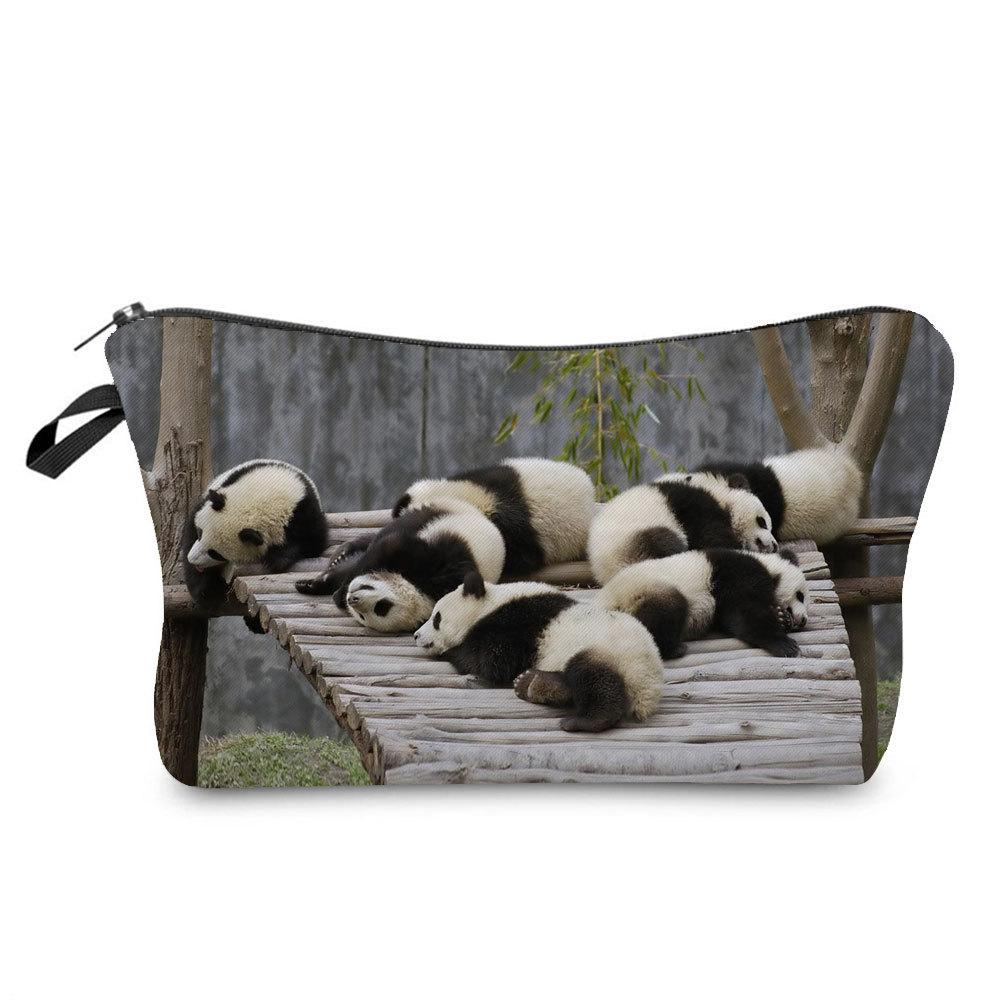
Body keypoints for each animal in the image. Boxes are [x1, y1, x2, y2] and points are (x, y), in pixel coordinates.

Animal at [183, 460, 329, 618]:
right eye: (200, 533)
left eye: (215, 553)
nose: (192, 559)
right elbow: (190, 532)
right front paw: (207, 592)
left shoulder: (304, 512)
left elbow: (313, 543)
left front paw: (277, 558)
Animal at [295, 500, 506, 634]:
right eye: (383, 604)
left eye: (378, 609)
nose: (352, 600)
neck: (422, 590)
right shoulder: (436, 561)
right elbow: (389, 546)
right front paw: (330, 588)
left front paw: (334, 592)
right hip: (437, 515)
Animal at [413, 571, 662, 732]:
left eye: (437, 618)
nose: (416, 635)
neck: (491, 604)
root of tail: (648, 687)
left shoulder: (514, 625)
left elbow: (491, 662)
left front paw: (452, 651)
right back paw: (533, 683)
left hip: (610, 652)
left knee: (593, 677)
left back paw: (584, 720)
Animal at [586, 473, 779, 585]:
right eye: (762, 522)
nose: (775, 545)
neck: (717, 493)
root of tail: (607, 572)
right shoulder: (694, 506)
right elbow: (713, 537)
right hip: (633, 539)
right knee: (665, 542)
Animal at [598, 548, 811, 660]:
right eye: (800, 595)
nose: (803, 620)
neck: (768, 566)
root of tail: (605, 603)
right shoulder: (737, 575)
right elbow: (745, 614)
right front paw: (786, 645)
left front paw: (781, 618)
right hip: (643, 591)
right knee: (666, 611)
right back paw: (673, 649)